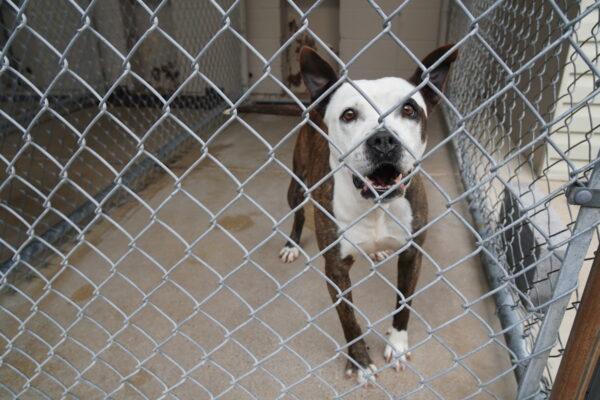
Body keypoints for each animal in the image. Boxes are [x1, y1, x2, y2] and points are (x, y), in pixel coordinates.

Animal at [278, 44, 458, 384]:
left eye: (410, 110)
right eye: (349, 114)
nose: (383, 139)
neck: (376, 205)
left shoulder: (412, 254)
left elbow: (404, 305)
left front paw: (397, 346)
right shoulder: (335, 269)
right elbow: (349, 318)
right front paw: (360, 361)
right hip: (297, 185)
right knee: (297, 213)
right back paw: (292, 245)